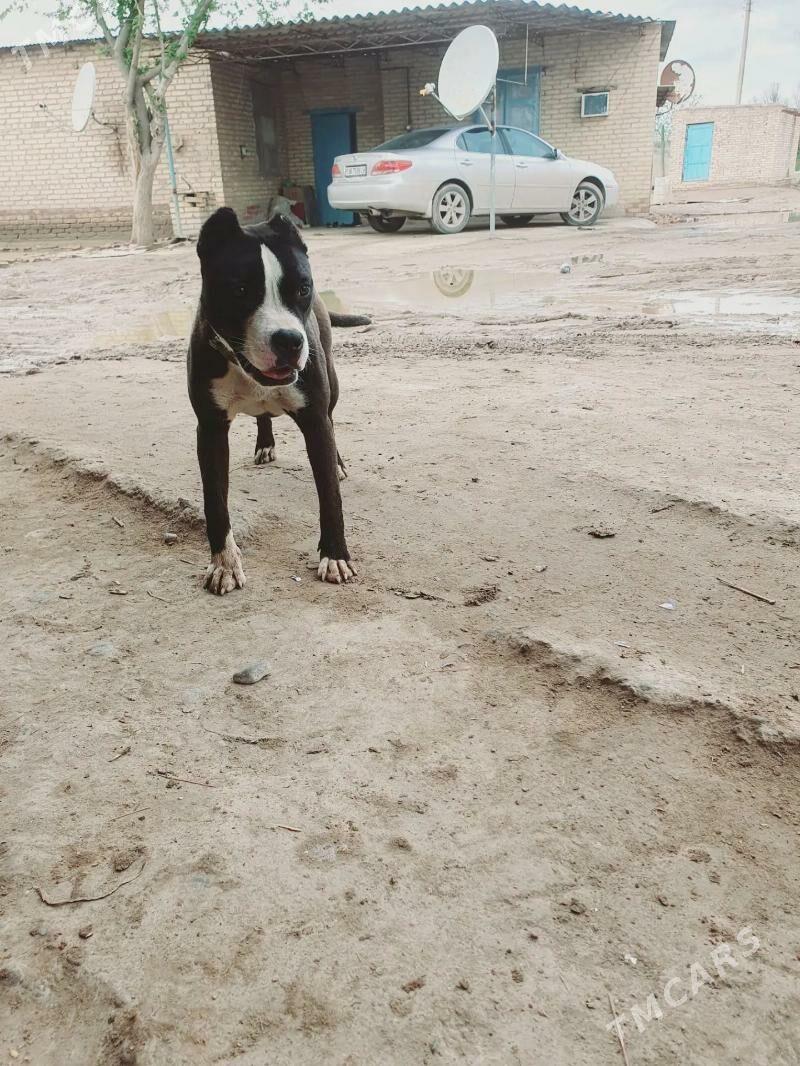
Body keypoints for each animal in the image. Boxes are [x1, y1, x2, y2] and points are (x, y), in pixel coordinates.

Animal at [187, 207, 369, 594]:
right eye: (239, 289)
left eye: (302, 287)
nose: (289, 340)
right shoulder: (210, 429)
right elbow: (215, 501)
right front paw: (224, 564)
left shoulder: (315, 420)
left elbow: (329, 494)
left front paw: (335, 555)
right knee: (263, 415)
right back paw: (265, 443)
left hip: (332, 385)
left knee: (332, 421)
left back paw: (337, 461)